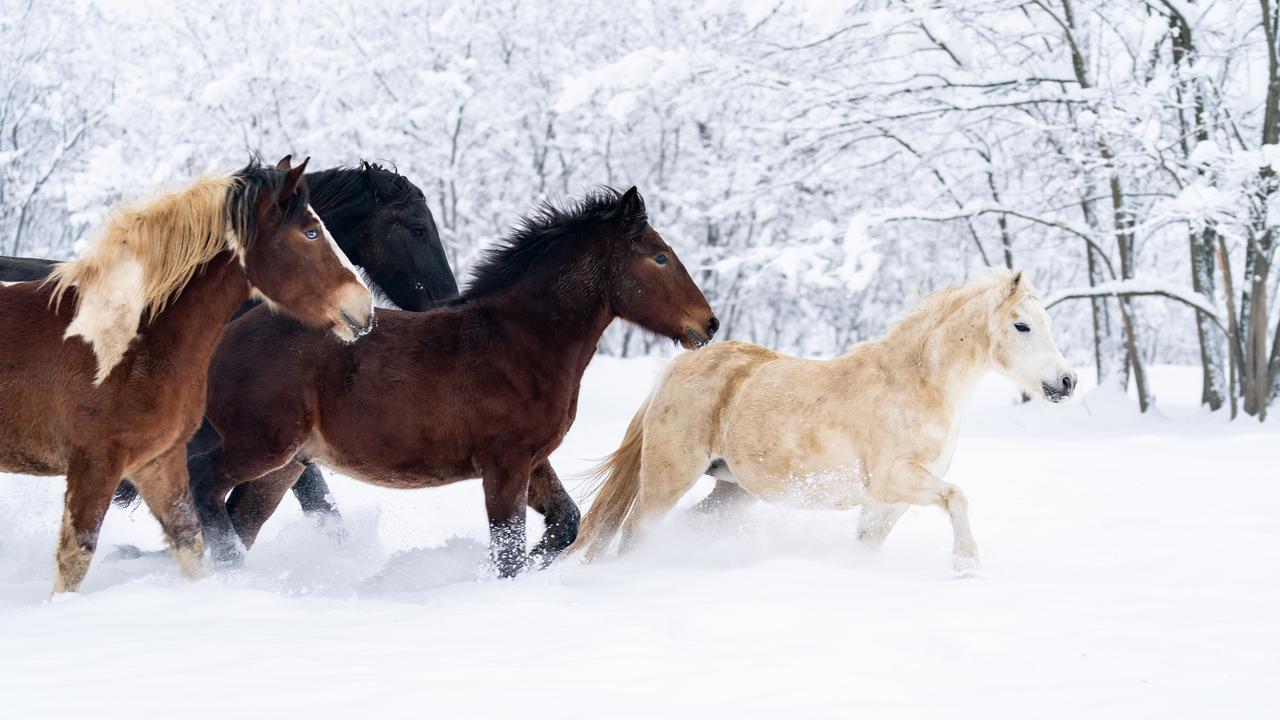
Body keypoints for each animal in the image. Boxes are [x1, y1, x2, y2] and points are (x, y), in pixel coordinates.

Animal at [0, 156, 374, 593]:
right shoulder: (94, 462)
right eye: (311, 231)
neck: (126, 341)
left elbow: (191, 544)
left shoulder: (157, 461)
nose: (364, 308)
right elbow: (75, 559)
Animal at [191, 186, 718, 576]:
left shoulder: (532, 459)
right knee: (203, 489)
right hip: (261, 445)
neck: (521, 341)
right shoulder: (504, 463)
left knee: (239, 516)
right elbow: (507, 551)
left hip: (285, 465)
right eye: (660, 258)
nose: (707, 324)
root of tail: (222, 339)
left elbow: (564, 524)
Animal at [568, 270, 1076, 572]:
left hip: (732, 492)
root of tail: (674, 368)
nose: (1067, 381)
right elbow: (957, 497)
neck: (916, 385)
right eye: (1022, 325)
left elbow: (870, 544)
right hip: (667, 478)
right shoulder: (894, 479)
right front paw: (966, 562)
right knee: (634, 534)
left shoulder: (887, 503)